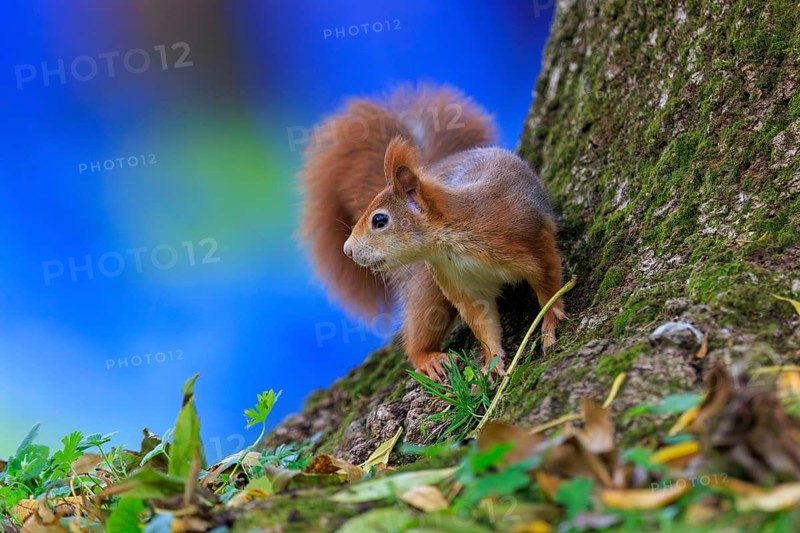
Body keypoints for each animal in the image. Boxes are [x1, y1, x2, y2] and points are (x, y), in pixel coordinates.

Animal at [299, 84, 565, 380]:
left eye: (379, 220)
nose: (347, 250)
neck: (455, 240)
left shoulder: (531, 240)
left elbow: (549, 286)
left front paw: (549, 325)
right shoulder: (461, 283)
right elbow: (482, 321)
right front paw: (491, 361)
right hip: (429, 286)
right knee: (420, 328)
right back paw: (428, 359)